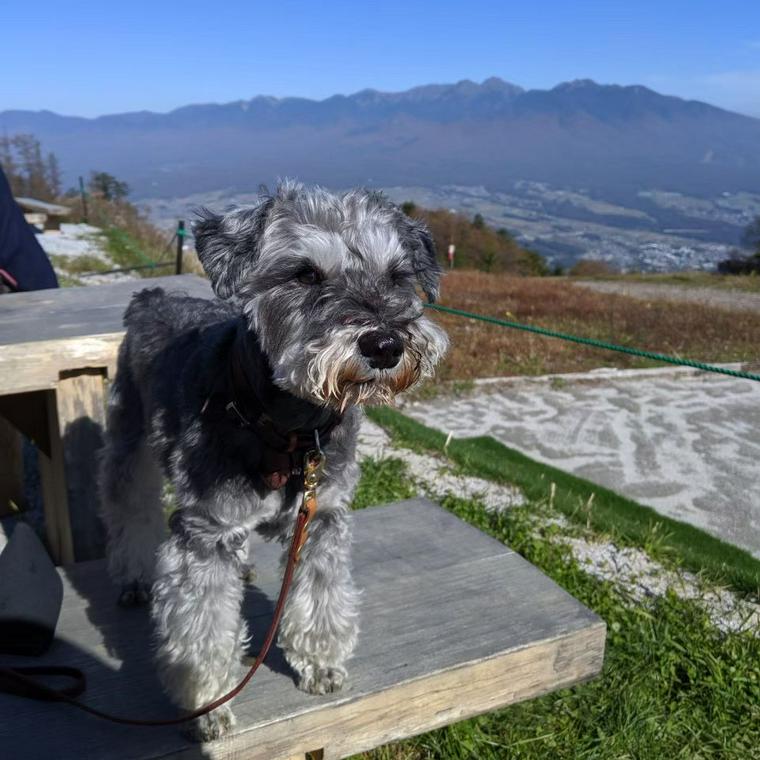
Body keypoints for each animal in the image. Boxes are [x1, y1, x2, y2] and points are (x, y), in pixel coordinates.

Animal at [98, 181, 448, 740]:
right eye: (305, 274)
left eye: (398, 275)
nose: (385, 344)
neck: (290, 429)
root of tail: (150, 298)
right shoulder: (206, 532)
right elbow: (202, 631)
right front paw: (208, 705)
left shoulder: (322, 516)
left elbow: (322, 595)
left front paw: (321, 664)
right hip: (129, 443)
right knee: (128, 507)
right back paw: (133, 575)